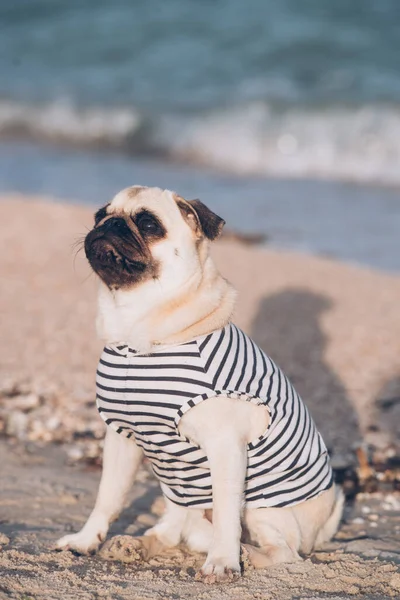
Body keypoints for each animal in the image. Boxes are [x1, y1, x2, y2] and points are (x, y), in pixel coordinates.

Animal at [57, 185, 344, 580]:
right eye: (100, 214)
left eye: (148, 224)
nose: (109, 224)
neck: (137, 334)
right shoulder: (120, 438)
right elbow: (108, 497)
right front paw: (86, 540)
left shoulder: (225, 447)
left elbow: (225, 513)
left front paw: (223, 561)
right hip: (180, 498)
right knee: (171, 531)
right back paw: (135, 545)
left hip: (265, 508)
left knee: (284, 552)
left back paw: (245, 555)